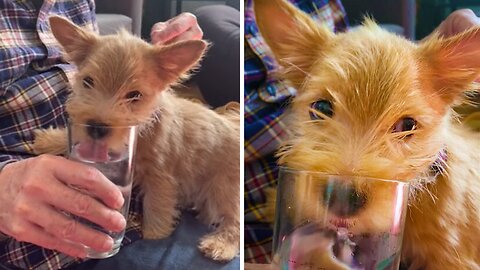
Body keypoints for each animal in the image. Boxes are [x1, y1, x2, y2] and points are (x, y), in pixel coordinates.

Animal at [32, 16, 240, 262]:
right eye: (88, 81)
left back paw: (221, 244)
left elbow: (157, 209)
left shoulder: (160, 179)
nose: (97, 127)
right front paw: (49, 139)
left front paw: (153, 235)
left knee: (234, 220)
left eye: (134, 95)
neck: (141, 131)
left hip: (224, 189)